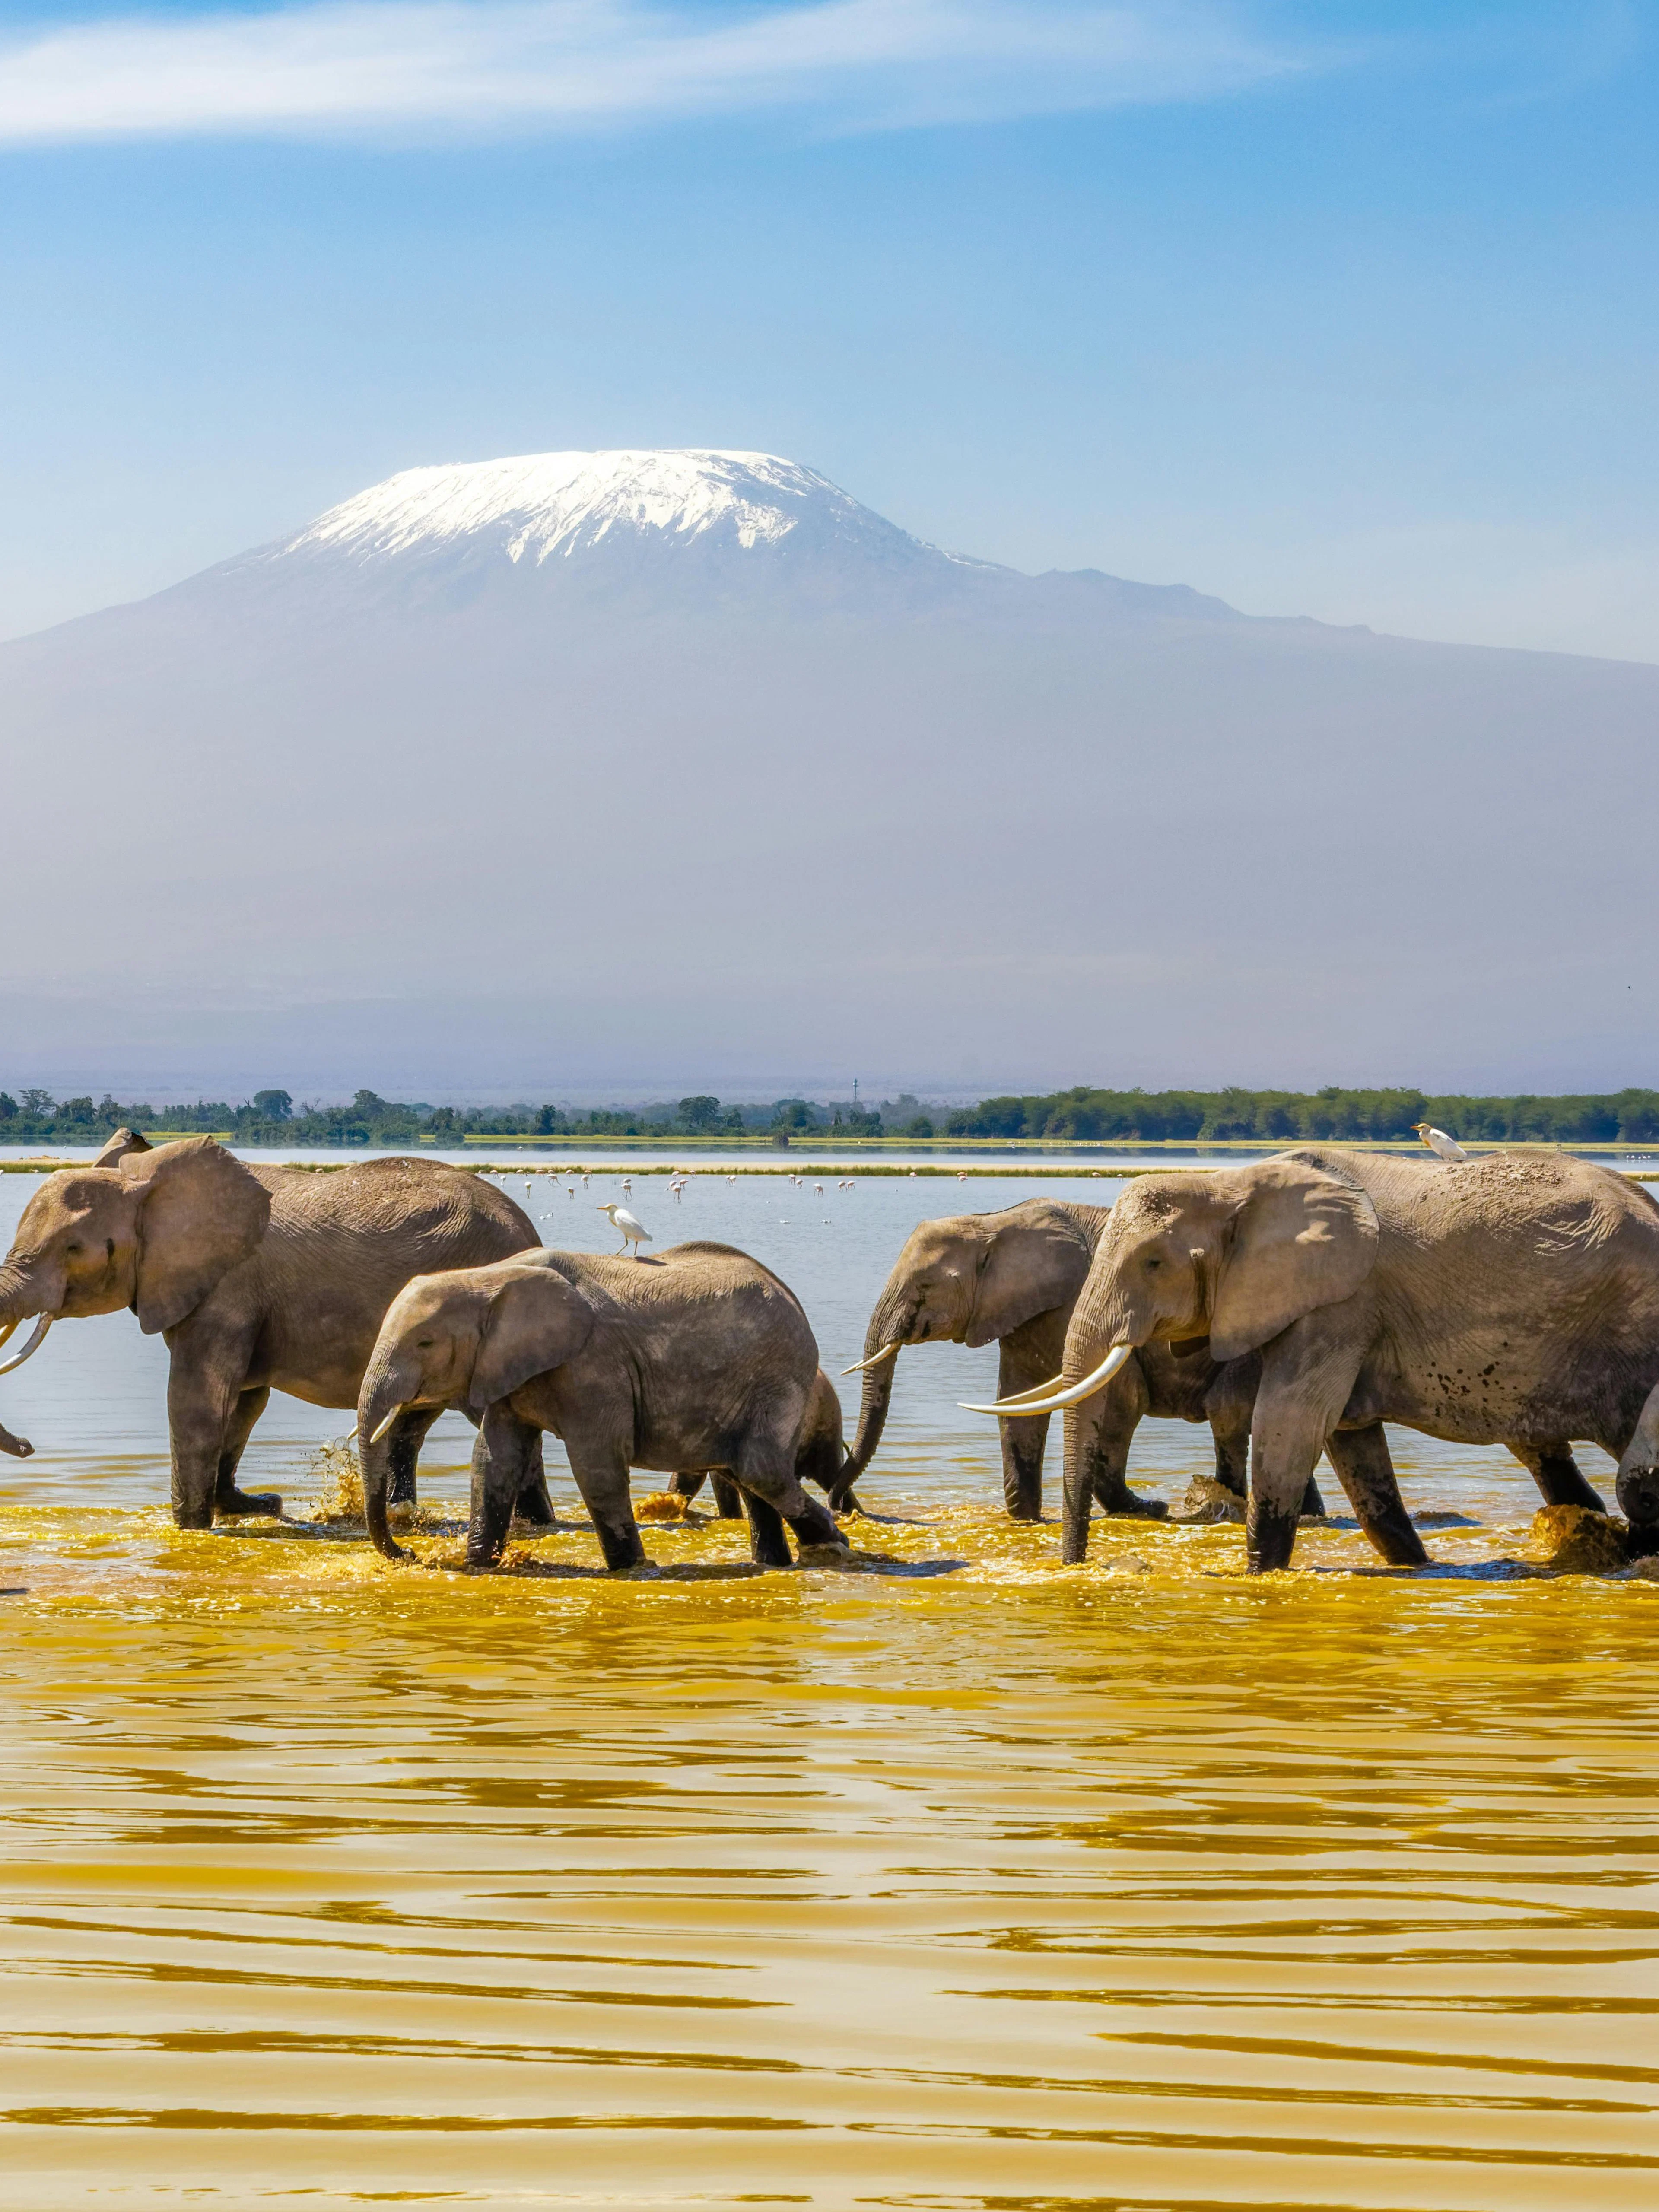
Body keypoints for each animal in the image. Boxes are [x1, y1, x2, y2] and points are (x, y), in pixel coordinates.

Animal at [0, 1133, 549, 1527]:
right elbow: (244, 1401)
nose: (28, 1446)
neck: (144, 1178)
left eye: (74, 1248)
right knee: (414, 1424)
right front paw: (252, 1506)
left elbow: (198, 1398)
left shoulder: (227, 1288)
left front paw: (190, 1526)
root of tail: (531, 1231)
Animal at [842, 1198, 1323, 1523]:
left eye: (925, 1286)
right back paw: (1308, 1515)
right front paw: (1027, 1520)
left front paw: (1147, 1508)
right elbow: (1015, 1405)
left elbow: (1121, 1402)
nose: (849, 1508)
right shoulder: (1021, 1313)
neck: (995, 1223)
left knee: (1229, 1412)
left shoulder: (1085, 1305)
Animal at [971, 1147, 1656, 1572]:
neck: (1232, 1186)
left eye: (1154, 1263)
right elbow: (1353, 1443)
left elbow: (1291, 1421)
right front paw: (1417, 1567)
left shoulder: (1339, 1300)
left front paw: (1256, 1578)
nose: (1079, 1568)